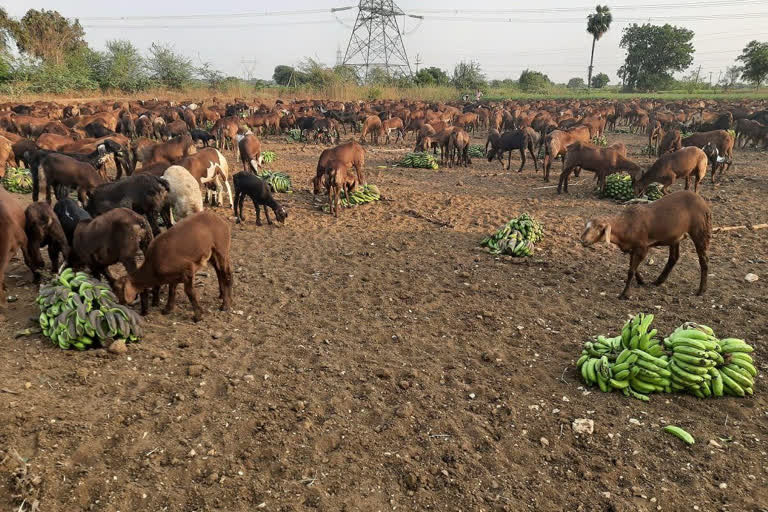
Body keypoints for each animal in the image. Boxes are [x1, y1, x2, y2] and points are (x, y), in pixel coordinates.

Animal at [580, 190, 712, 298]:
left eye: (600, 227)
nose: (582, 240)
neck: (626, 226)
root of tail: (703, 202)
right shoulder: (633, 248)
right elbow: (632, 267)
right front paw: (641, 281)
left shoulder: (642, 247)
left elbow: (631, 271)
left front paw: (625, 294)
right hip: (675, 236)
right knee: (673, 258)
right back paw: (658, 281)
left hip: (700, 231)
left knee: (703, 260)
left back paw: (701, 290)